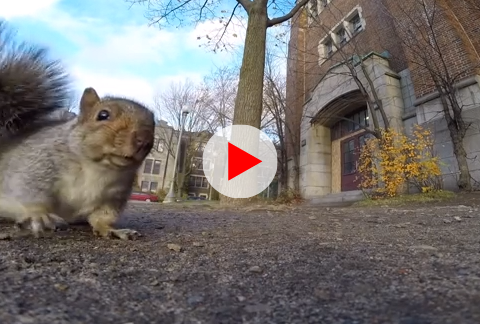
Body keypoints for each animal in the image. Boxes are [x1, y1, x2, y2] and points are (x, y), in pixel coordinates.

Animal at [0, 19, 155, 238]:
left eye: (153, 124)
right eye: (103, 115)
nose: (144, 139)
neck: (100, 168)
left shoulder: (113, 197)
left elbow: (102, 217)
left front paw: (113, 230)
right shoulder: (36, 167)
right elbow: (31, 194)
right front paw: (40, 216)